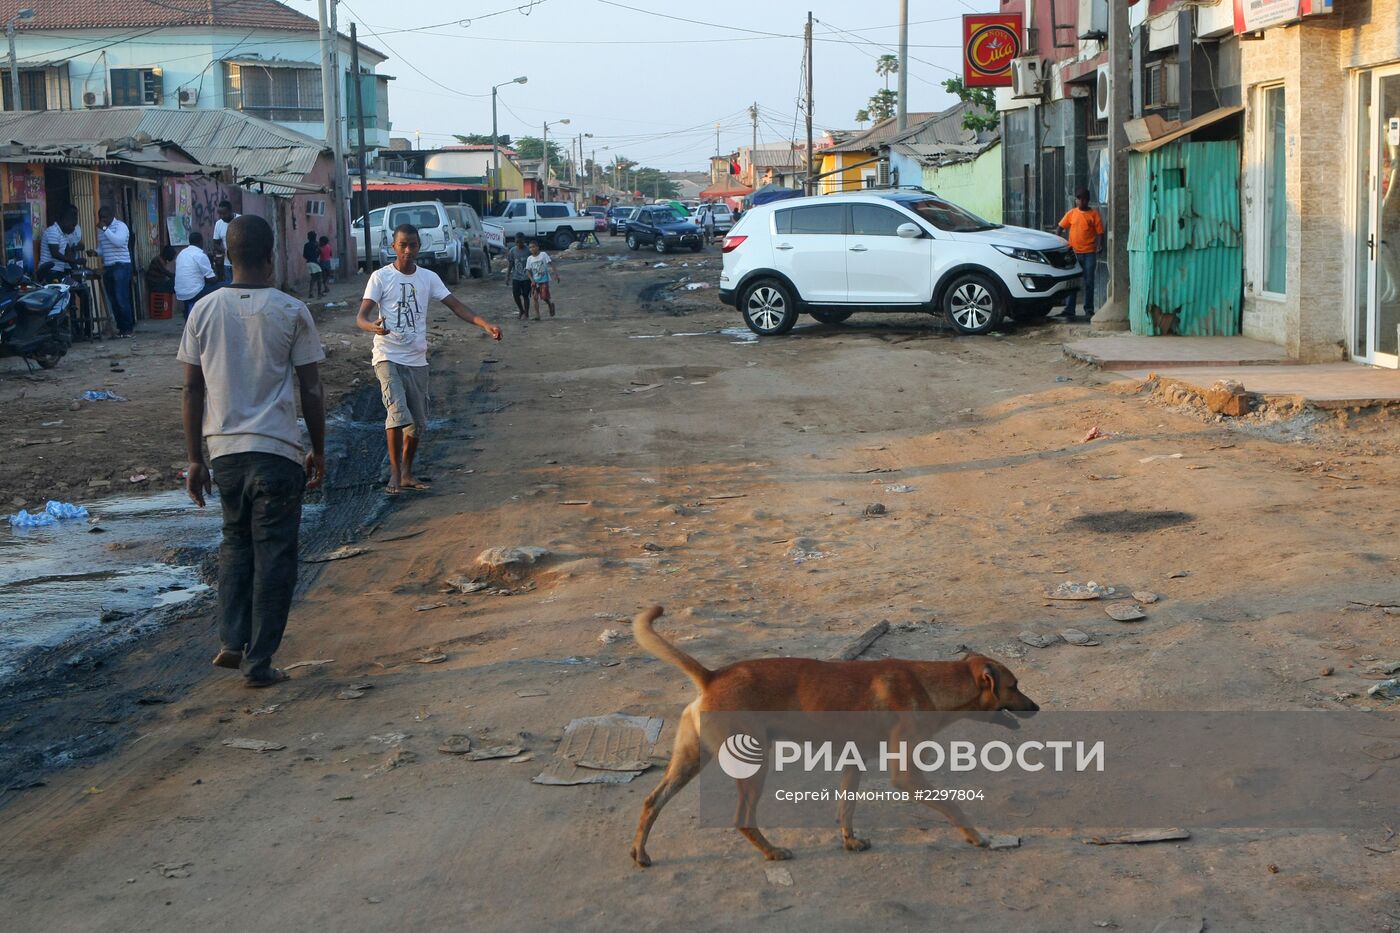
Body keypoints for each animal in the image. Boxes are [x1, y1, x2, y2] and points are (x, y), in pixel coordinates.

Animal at [632, 602, 1041, 862]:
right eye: (1015, 685)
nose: (1037, 707)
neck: (930, 685)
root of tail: (712, 677)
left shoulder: (853, 760)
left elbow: (846, 807)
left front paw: (850, 842)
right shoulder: (905, 774)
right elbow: (951, 805)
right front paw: (977, 836)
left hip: (690, 760)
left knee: (652, 801)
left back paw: (640, 853)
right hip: (754, 766)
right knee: (742, 818)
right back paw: (772, 852)